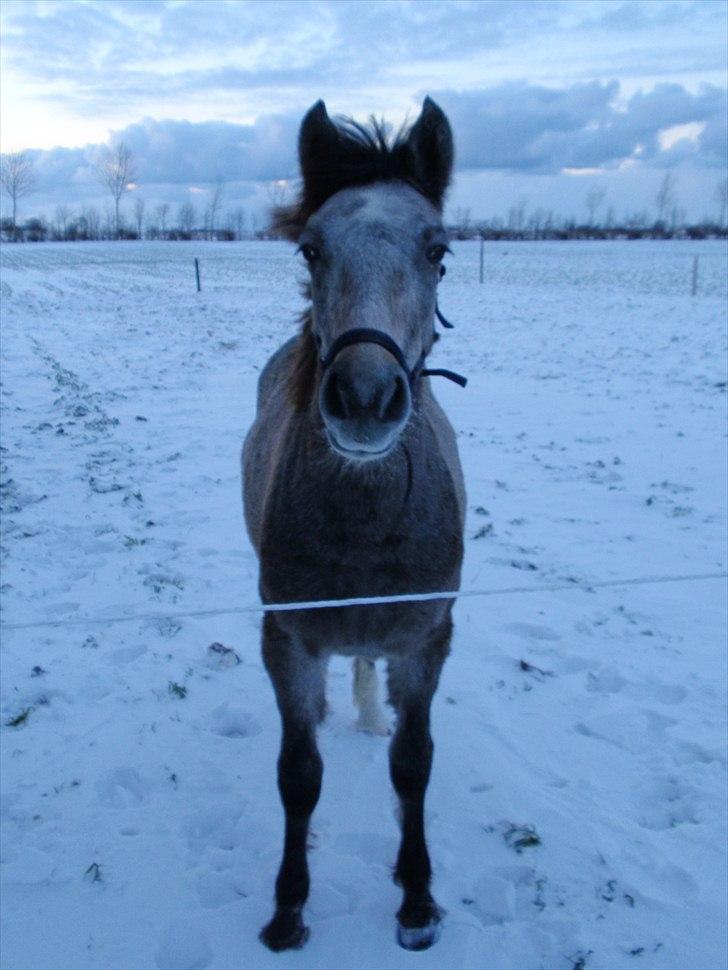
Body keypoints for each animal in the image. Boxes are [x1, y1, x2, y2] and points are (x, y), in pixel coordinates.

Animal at [242, 96, 464, 944]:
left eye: (438, 251)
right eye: (310, 249)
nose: (364, 399)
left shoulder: (426, 642)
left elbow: (414, 763)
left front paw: (416, 901)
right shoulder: (287, 643)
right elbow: (298, 775)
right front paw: (288, 908)